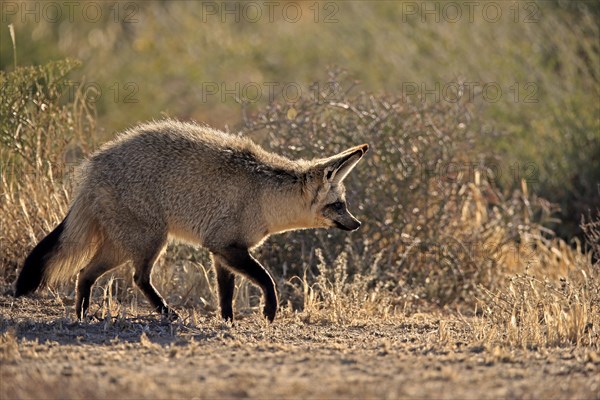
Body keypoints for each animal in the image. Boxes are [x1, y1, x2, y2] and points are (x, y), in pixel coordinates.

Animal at [14, 119, 368, 322]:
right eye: (338, 205)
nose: (357, 225)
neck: (264, 194)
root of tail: (92, 166)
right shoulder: (227, 246)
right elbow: (267, 279)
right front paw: (269, 310)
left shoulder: (222, 252)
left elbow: (226, 293)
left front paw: (227, 321)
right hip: (149, 242)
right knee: (137, 278)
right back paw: (165, 312)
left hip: (124, 246)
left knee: (85, 273)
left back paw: (83, 314)